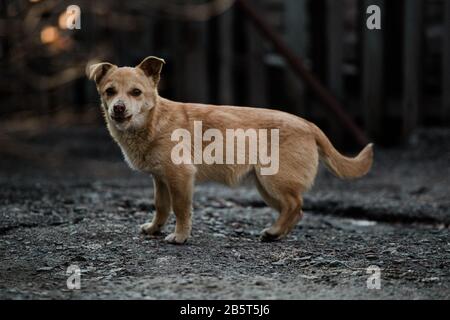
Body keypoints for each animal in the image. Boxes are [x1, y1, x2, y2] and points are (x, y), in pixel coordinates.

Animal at [87, 56, 372, 244]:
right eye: (110, 91)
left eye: (136, 92)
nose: (118, 108)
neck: (153, 121)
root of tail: (310, 125)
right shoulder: (161, 179)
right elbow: (161, 207)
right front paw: (154, 229)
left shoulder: (181, 178)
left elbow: (180, 209)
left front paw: (180, 236)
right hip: (266, 187)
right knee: (295, 210)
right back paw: (277, 232)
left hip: (274, 181)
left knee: (295, 205)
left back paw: (274, 232)